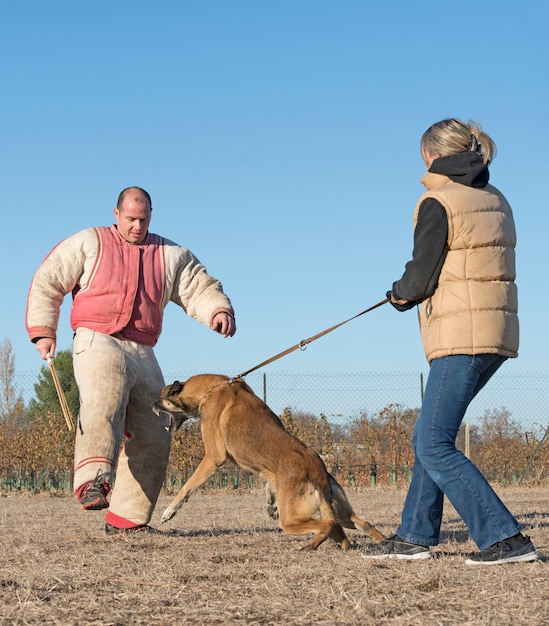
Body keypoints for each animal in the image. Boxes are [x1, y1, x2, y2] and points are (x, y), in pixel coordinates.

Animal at [153, 372, 386, 548]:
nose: (151, 405)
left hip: (291, 519)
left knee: (327, 526)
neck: (210, 390)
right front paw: (270, 503)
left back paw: (310, 546)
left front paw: (168, 511)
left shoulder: (213, 457)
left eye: (161, 396)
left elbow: (187, 486)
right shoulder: (266, 471)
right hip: (341, 512)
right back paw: (384, 543)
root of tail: (318, 469)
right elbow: (268, 482)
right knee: (361, 523)